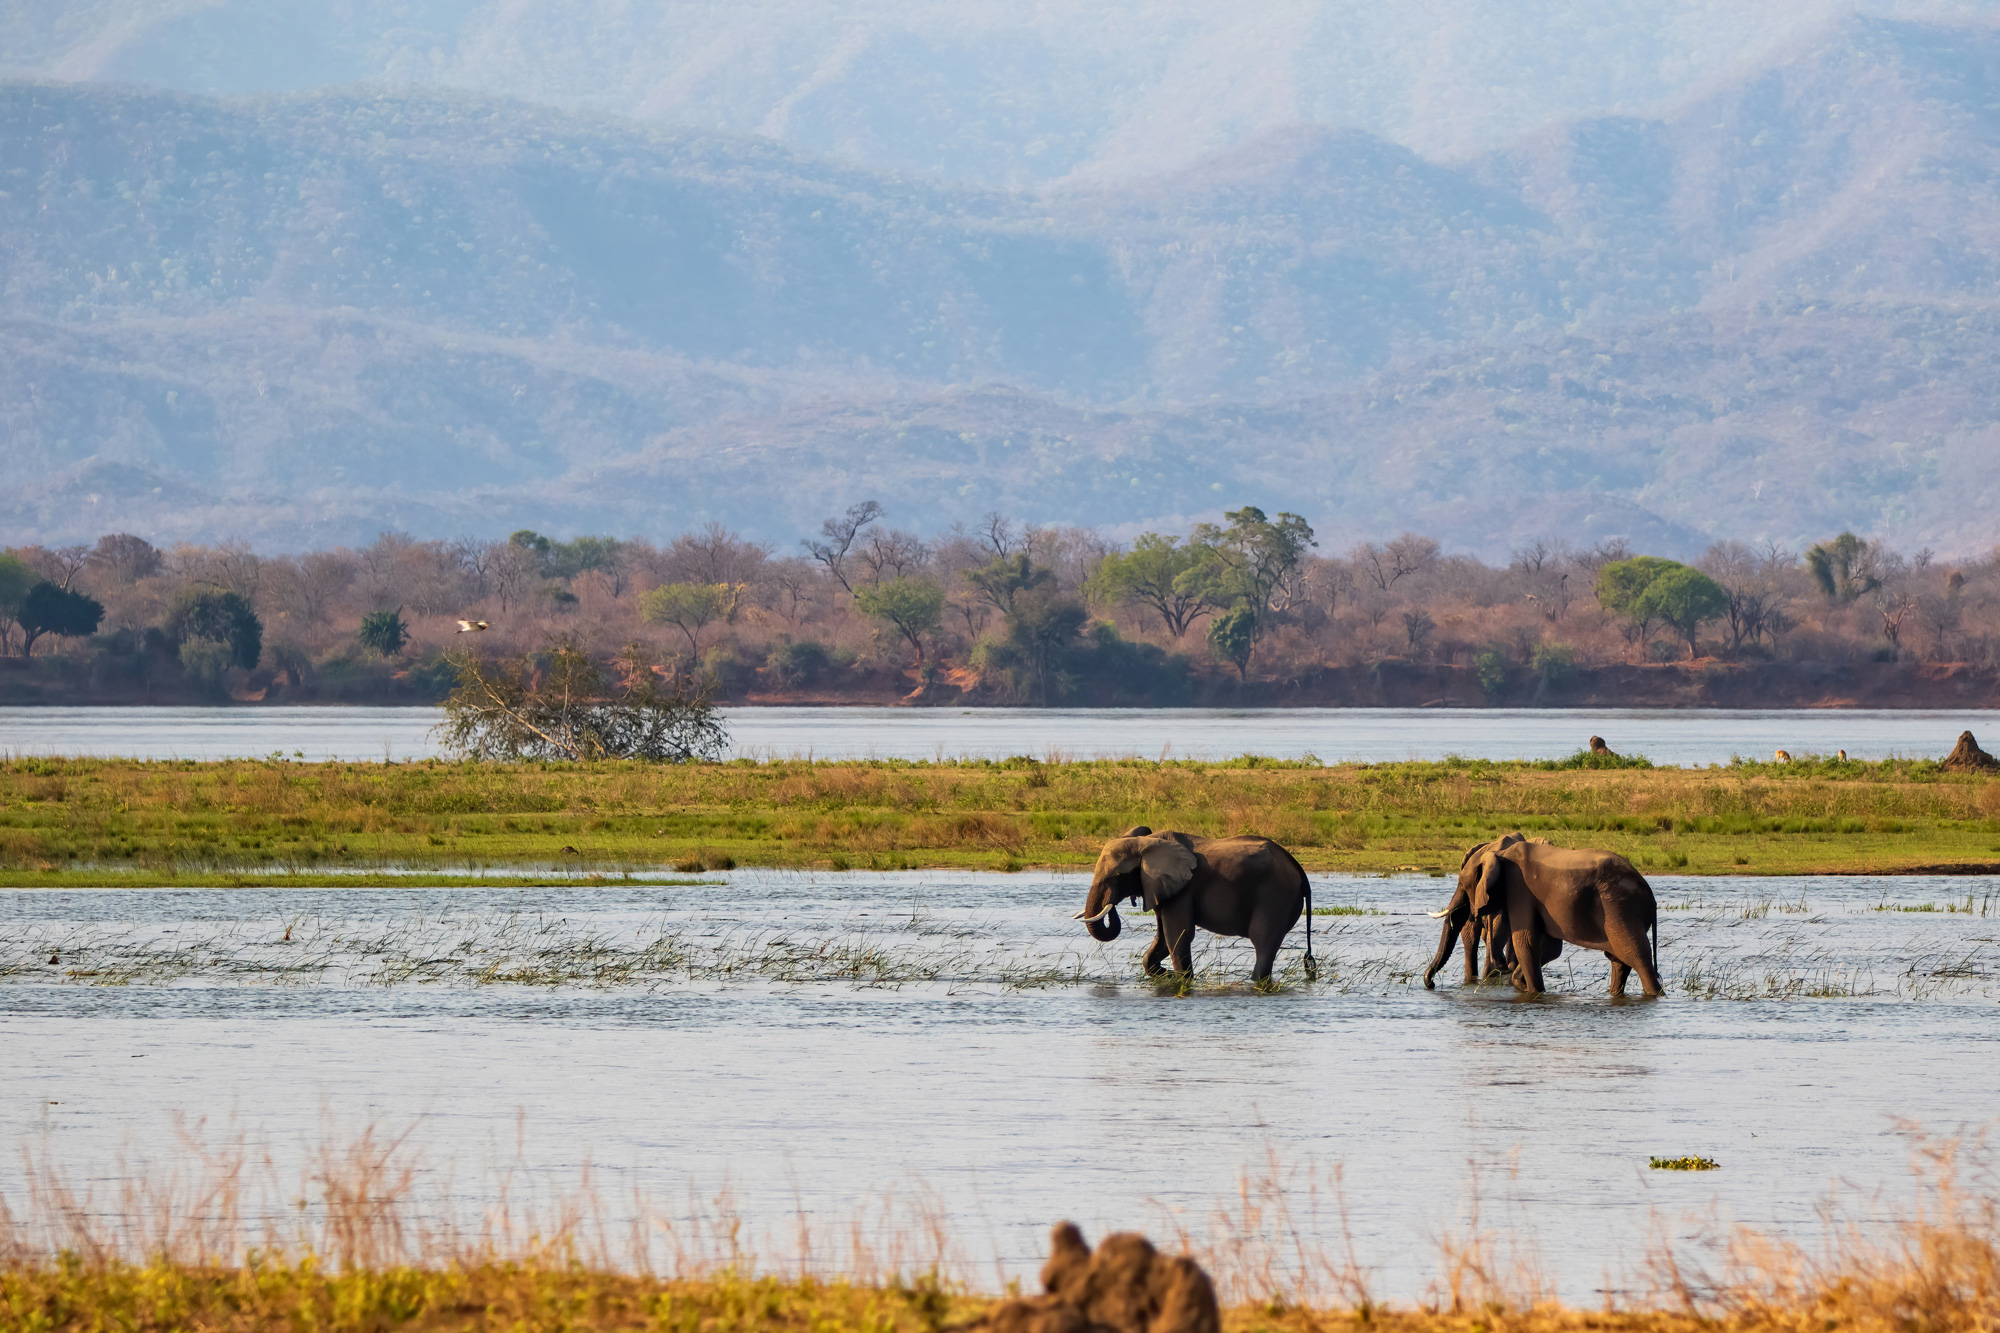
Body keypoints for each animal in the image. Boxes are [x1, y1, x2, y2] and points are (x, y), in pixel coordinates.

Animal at [1074, 827, 1315, 983]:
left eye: (1117, 876)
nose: (1112, 906)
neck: (1145, 843)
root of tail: (1298, 868)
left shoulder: (1183, 890)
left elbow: (1177, 935)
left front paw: (1183, 980)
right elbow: (1162, 938)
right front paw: (1166, 975)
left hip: (1275, 896)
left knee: (1263, 942)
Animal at [1422, 835, 1662, 996]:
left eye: (1462, 884)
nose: (1430, 983)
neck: (1500, 855)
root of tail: (1650, 896)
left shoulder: (1519, 888)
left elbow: (1525, 943)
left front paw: (1530, 990)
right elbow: (1549, 947)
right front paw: (1518, 981)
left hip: (1620, 909)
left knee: (1637, 958)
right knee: (1619, 961)